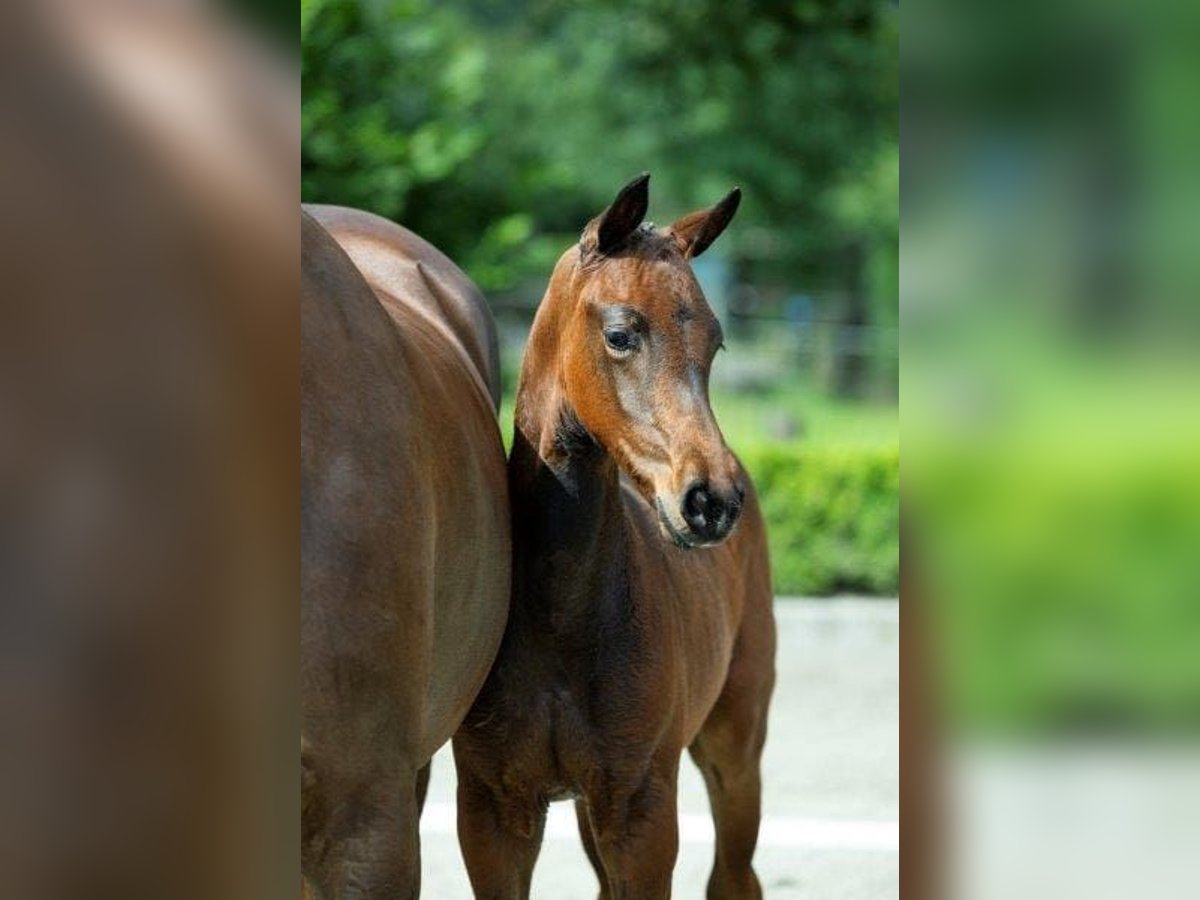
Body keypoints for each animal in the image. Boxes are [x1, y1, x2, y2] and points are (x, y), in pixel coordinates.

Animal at [451, 172, 777, 897]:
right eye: (622, 333)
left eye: (715, 342)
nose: (711, 501)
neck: (561, 616)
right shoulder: (493, 812)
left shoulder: (642, 811)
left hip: (734, 744)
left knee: (735, 875)